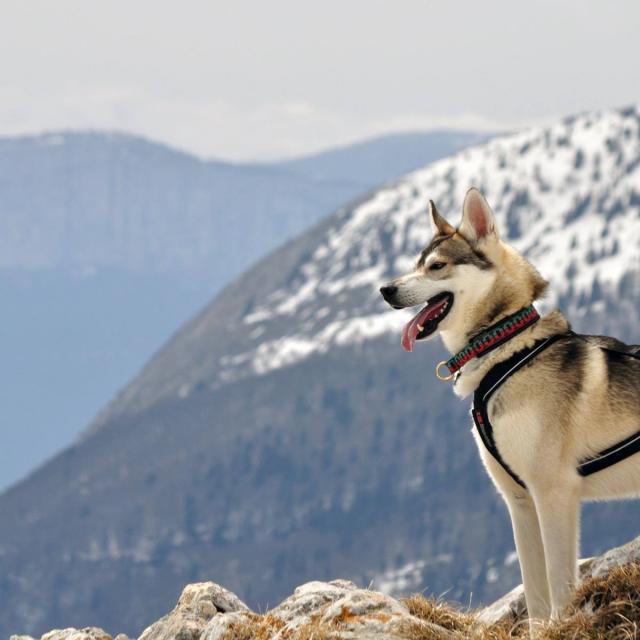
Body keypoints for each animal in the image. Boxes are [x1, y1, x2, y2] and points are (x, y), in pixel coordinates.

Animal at [380, 186, 640, 624]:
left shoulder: (554, 493)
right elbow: (535, 596)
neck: (504, 350)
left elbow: (559, 587)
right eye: (416, 264)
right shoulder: (519, 502)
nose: (386, 289)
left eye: (436, 266)